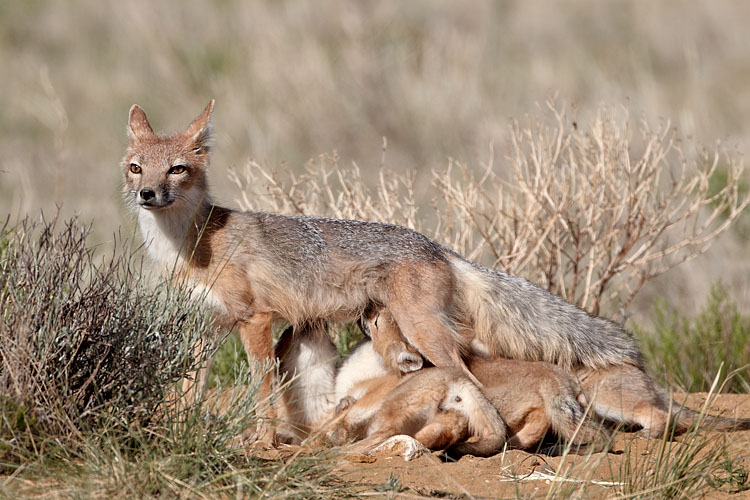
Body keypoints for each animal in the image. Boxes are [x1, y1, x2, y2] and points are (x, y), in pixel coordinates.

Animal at [122, 101, 640, 422]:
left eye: (177, 169)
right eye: (136, 168)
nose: (147, 194)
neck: (190, 249)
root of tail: (435, 244)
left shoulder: (256, 320)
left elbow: (263, 394)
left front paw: (262, 441)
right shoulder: (206, 327)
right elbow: (189, 393)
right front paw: (182, 433)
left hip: (425, 333)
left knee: (468, 375)